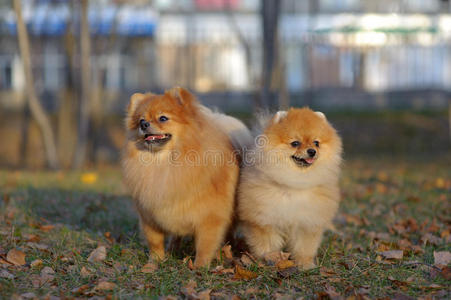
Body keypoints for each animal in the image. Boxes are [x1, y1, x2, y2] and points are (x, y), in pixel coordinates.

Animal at [122, 86, 252, 268]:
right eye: (141, 119)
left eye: (163, 118)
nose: (144, 124)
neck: (164, 164)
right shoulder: (149, 216)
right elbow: (155, 242)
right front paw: (155, 262)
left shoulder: (210, 217)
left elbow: (205, 244)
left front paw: (200, 266)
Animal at [238, 108, 340, 270]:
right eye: (295, 143)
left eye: (316, 143)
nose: (312, 151)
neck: (295, 183)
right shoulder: (264, 220)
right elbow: (267, 245)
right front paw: (271, 260)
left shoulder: (307, 222)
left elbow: (304, 247)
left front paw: (305, 264)